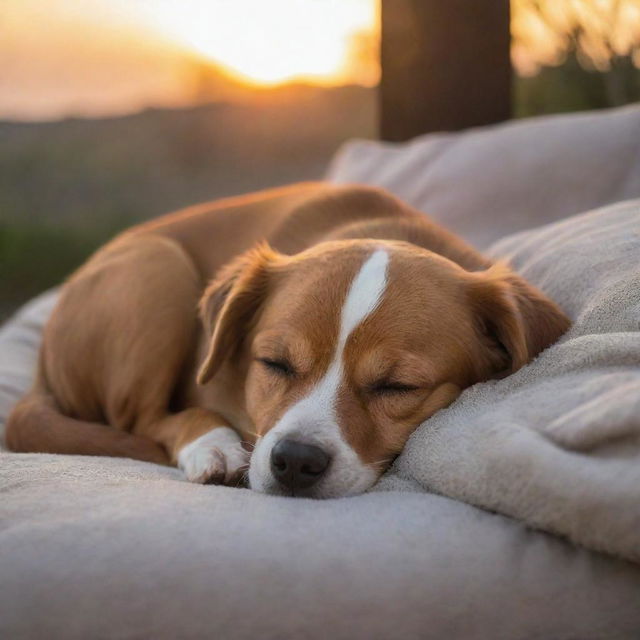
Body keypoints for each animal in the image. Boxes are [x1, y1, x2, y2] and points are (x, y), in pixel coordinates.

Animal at [6, 182, 568, 498]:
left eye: (397, 386)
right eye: (274, 363)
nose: (295, 461)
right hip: (158, 267)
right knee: (142, 419)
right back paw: (212, 445)